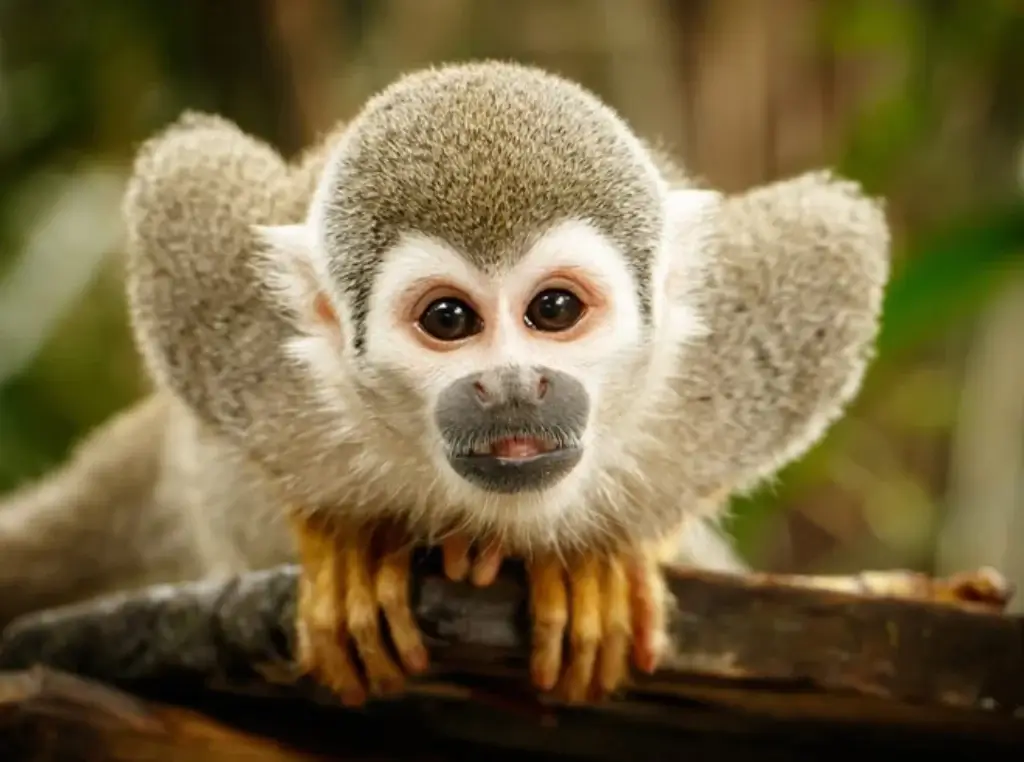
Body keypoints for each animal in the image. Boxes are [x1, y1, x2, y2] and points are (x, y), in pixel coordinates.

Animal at [0, 61, 889, 707]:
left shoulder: (735, 355)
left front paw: (609, 555)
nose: (513, 386)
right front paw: (342, 539)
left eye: (554, 309)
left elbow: (836, 242)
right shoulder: (243, 349)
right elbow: (185, 179)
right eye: (450, 319)